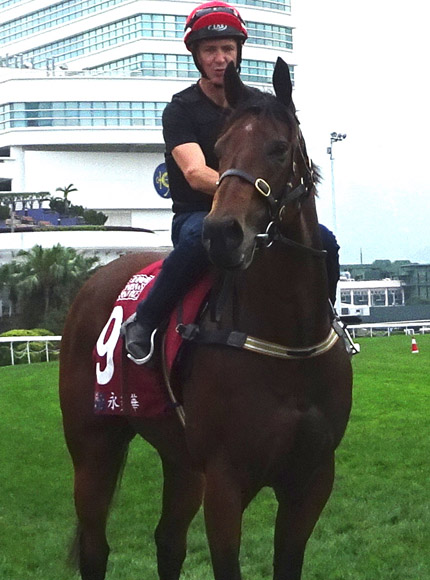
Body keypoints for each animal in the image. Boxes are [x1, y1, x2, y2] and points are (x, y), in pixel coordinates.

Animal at [58, 60, 352, 580]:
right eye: (218, 151)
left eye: (279, 148)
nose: (221, 233)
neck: (288, 342)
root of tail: (94, 281)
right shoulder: (225, 481)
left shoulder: (312, 479)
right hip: (93, 449)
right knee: (95, 547)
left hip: (180, 460)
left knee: (168, 541)